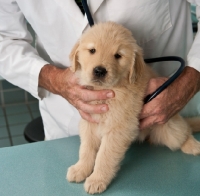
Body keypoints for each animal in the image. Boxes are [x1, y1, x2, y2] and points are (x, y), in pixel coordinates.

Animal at [66, 21, 200, 194]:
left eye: (118, 55)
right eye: (92, 50)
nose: (99, 71)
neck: (113, 88)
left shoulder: (119, 127)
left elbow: (104, 155)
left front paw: (97, 179)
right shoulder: (89, 121)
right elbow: (86, 149)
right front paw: (81, 169)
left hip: (168, 127)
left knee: (184, 131)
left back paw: (193, 145)